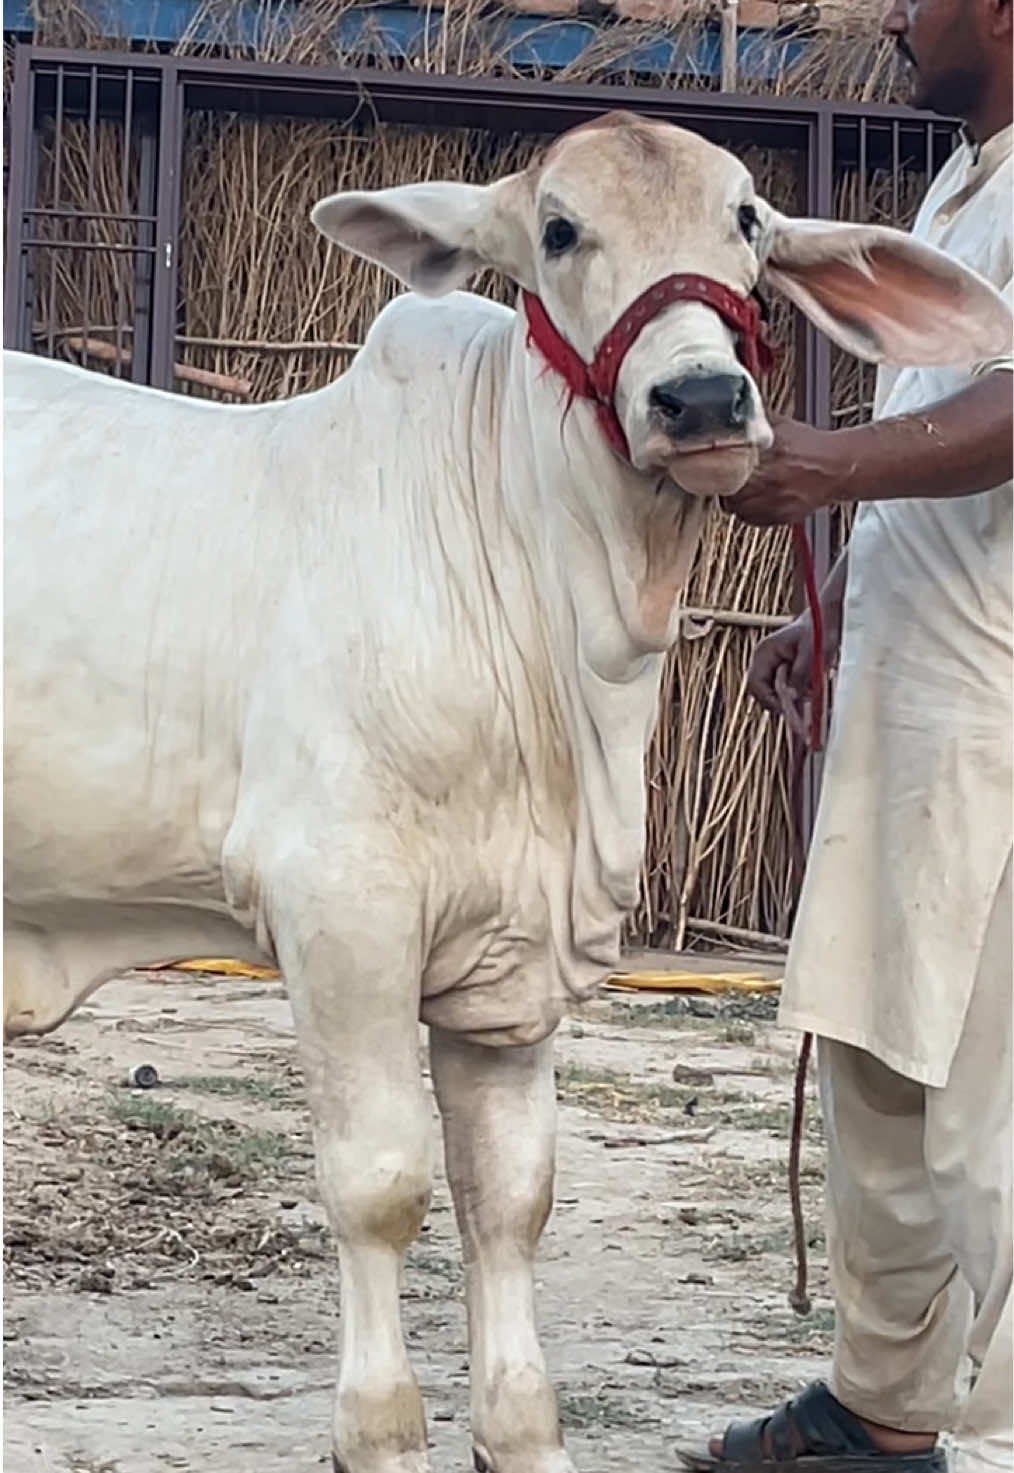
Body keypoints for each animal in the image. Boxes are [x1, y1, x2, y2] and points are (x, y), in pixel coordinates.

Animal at [4, 112, 1008, 1473]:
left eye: (747, 219)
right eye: (560, 230)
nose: (702, 399)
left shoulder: (511, 964)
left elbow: (511, 1199)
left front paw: (520, 1431)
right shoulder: (343, 911)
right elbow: (380, 1183)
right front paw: (379, 1432)